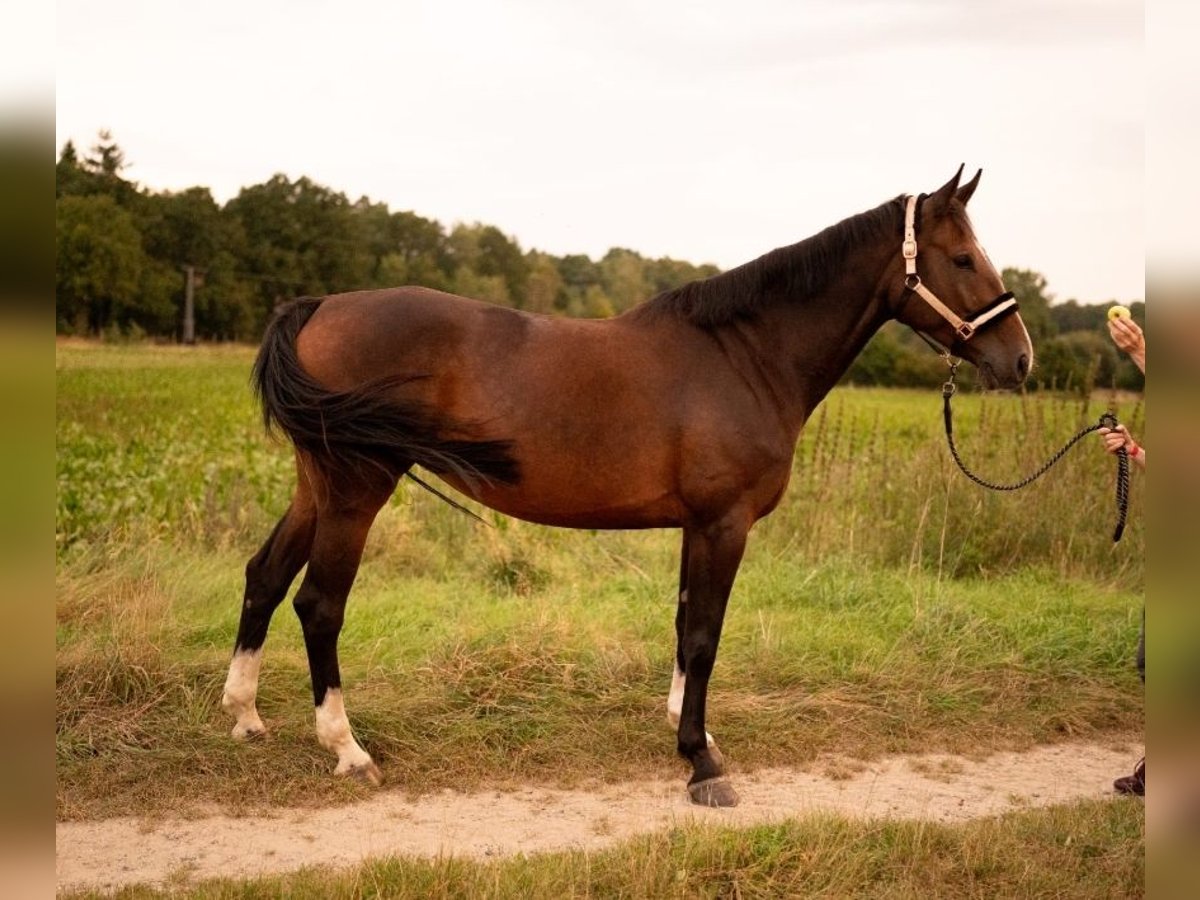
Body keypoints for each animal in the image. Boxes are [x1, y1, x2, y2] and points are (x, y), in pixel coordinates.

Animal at [223, 169, 1032, 811]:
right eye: (962, 257)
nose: (1019, 359)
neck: (743, 356)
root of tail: (322, 305)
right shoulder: (724, 523)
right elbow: (704, 634)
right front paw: (702, 763)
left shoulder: (697, 526)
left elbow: (683, 627)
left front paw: (688, 730)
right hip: (357, 492)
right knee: (319, 605)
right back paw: (347, 748)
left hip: (316, 488)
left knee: (265, 576)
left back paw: (244, 714)